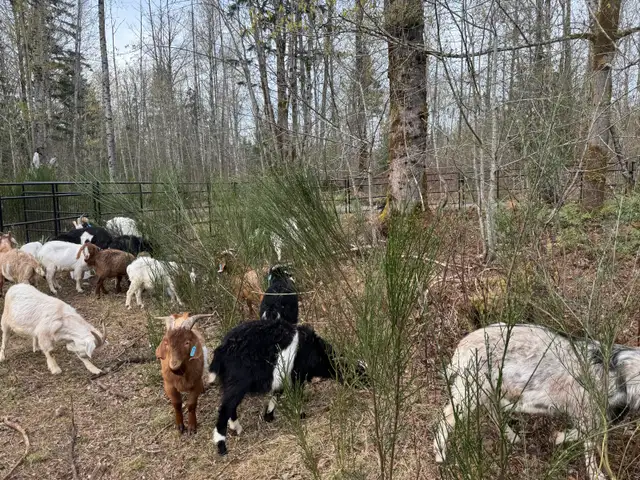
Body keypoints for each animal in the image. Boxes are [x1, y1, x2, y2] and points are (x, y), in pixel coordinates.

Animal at [208, 319, 367, 455]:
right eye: (360, 374)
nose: (369, 386)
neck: (318, 353)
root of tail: (221, 351)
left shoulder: (284, 375)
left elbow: (277, 393)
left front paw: (269, 415)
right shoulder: (296, 374)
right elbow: (296, 393)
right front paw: (300, 414)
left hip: (230, 382)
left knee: (231, 406)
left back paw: (236, 427)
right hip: (238, 381)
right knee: (225, 408)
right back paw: (221, 445)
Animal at [433, 323, 640, 480]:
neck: (616, 371)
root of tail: (461, 349)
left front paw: (559, 437)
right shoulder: (586, 407)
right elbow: (590, 440)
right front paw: (596, 474)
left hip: (487, 386)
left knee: (491, 405)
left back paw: (512, 434)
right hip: (471, 386)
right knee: (449, 415)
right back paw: (440, 453)